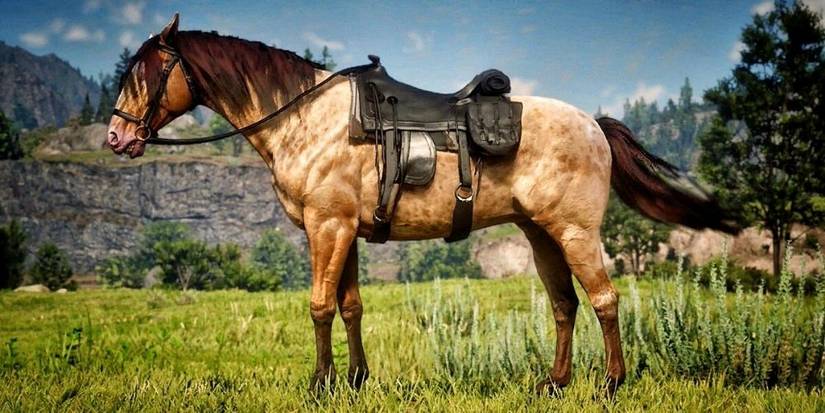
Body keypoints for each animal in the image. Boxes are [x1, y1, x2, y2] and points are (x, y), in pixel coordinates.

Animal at [107, 15, 737, 396]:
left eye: (148, 70)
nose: (116, 137)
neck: (303, 116)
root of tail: (594, 124)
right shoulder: (345, 230)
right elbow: (351, 307)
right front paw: (355, 380)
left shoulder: (326, 226)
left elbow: (319, 307)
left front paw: (320, 384)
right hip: (541, 235)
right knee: (565, 306)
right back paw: (554, 384)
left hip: (576, 231)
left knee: (604, 301)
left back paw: (611, 384)